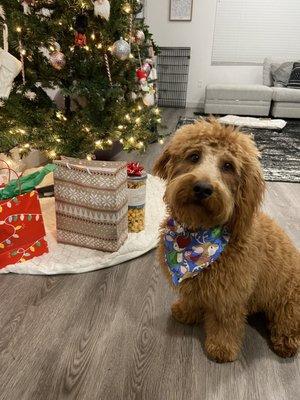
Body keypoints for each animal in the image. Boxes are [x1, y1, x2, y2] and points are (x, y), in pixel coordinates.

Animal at [154, 118, 298, 362]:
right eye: (194, 156)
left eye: (228, 166)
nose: (202, 188)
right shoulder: (197, 283)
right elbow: (193, 297)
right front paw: (186, 312)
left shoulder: (229, 296)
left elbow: (225, 323)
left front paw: (221, 348)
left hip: (289, 302)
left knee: (287, 324)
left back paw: (286, 343)